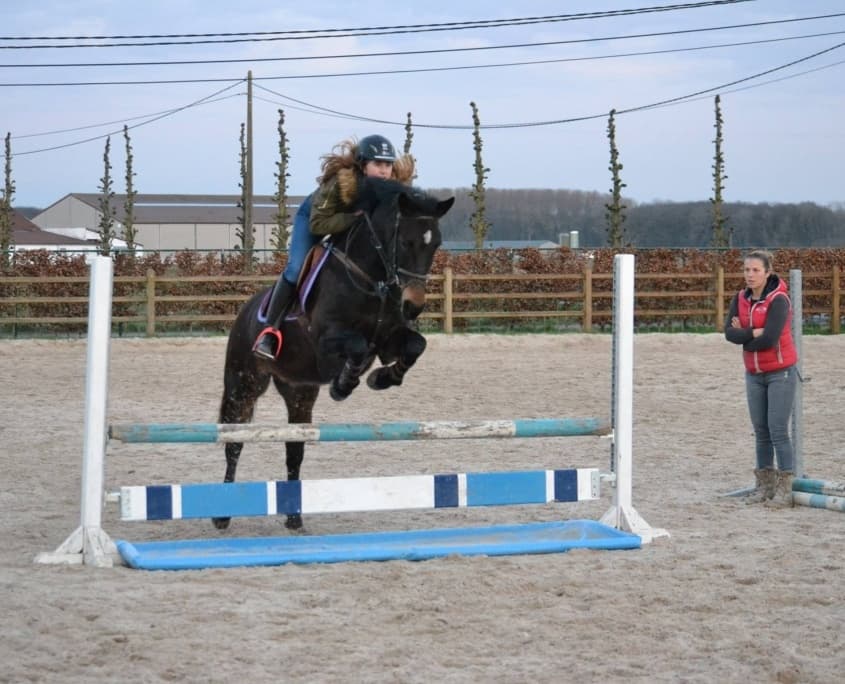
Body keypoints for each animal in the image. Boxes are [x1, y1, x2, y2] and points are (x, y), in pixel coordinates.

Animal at [215, 177, 454, 530]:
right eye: (406, 241)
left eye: (435, 243)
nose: (413, 306)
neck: (370, 279)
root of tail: (244, 311)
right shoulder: (326, 343)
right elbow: (356, 347)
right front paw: (344, 384)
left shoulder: (388, 340)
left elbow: (414, 346)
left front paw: (384, 377)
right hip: (243, 385)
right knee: (234, 443)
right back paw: (221, 515)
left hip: (299, 392)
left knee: (294, 449)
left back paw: (294, 518)